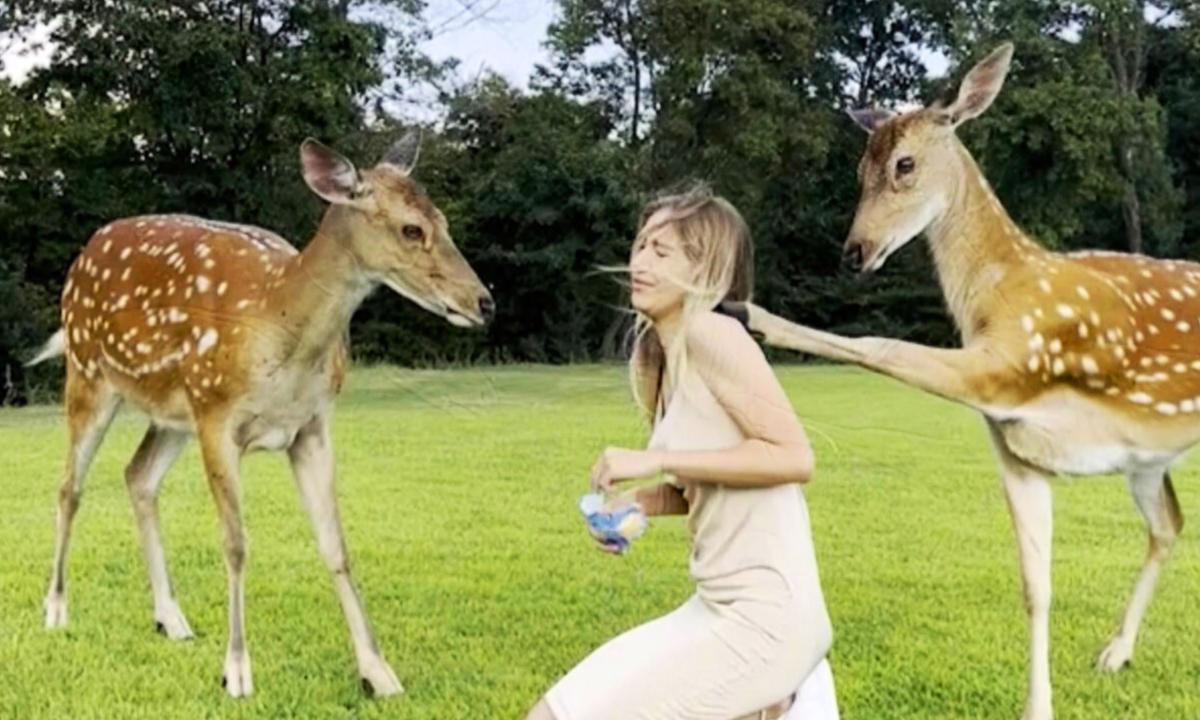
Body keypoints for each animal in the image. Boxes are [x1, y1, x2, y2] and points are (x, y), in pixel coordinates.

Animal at [25, 132, 494, 698]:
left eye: (443, 220)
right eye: (411, 228)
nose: (484, 302)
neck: (280, 326)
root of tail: (81, 258)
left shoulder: (310, 425)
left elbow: (335, 545)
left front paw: (377, 672)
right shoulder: (219, 418)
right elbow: (236, 545)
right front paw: (237, 671)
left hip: (173, 412)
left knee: (137, 476)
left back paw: (171, 619)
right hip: (91, 374)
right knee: (69, 487)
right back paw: (55, 609)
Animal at [721, 43, 1199, 720]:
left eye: (905, 163)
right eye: (858, 170)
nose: (855, 252)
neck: (997, 297)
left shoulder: (1009, 366)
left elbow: (881, 346)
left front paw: (747, 311)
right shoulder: (1014, 444)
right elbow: (1036, 587)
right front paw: (1038, 708)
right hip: (1146, 458)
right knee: (1168, 525)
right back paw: (1116, 652)